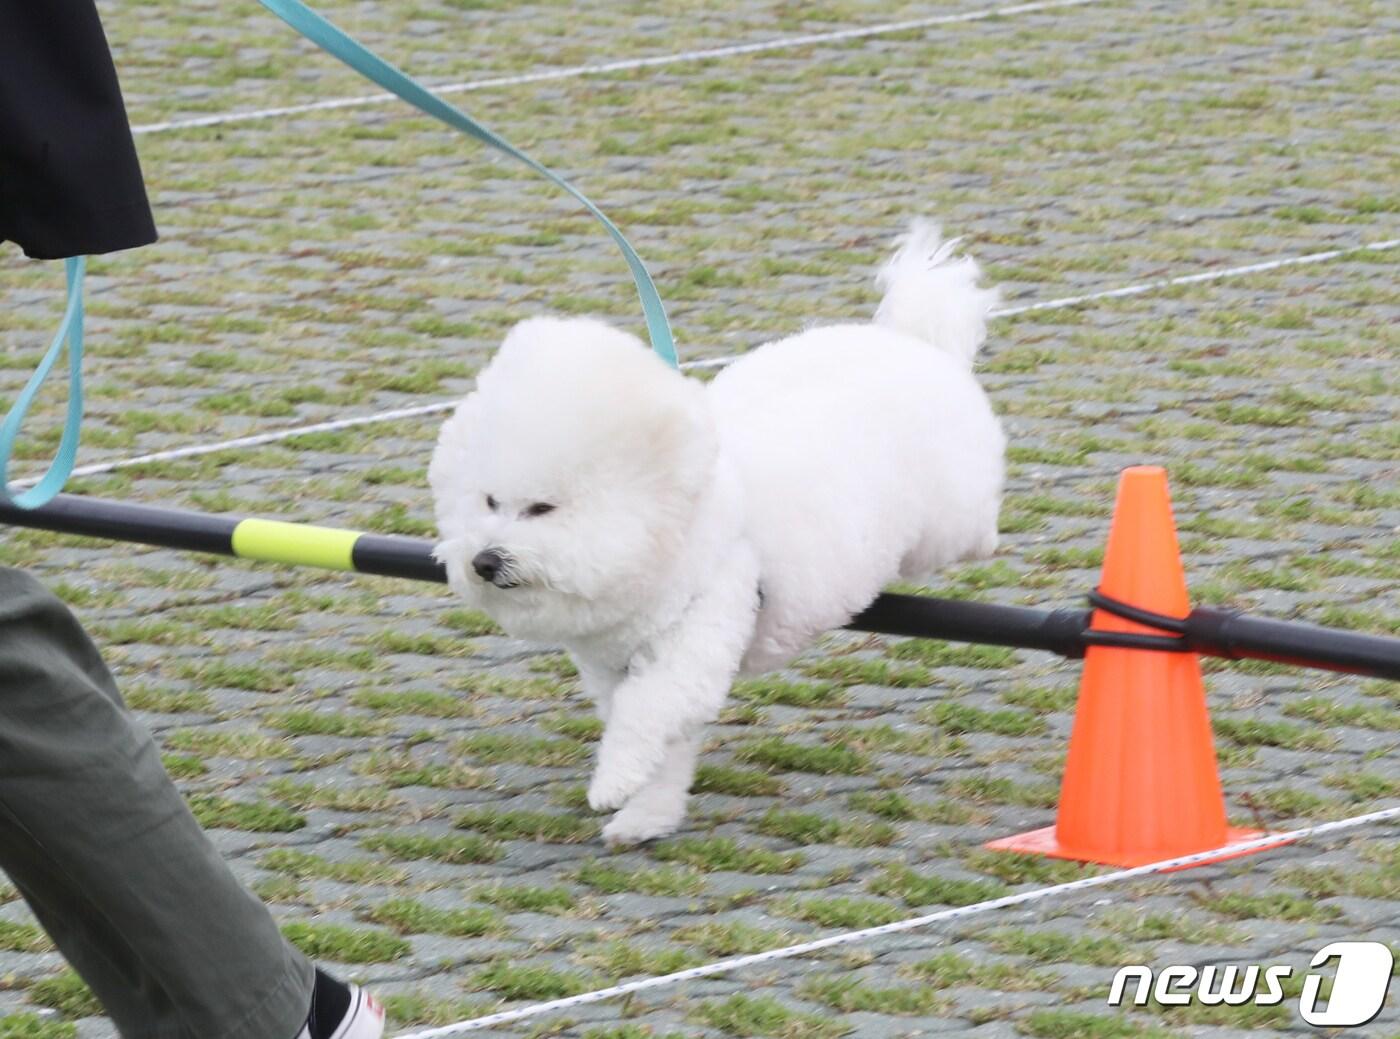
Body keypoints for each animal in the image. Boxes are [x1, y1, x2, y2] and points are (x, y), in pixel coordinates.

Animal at [428, 224, 1008, 851]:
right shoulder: (616, 667)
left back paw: (987, 538)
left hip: (946, 515)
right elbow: (665, 745)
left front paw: (613, 782)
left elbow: (646, 713)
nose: (485, 561)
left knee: (967, 527)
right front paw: (646, 816)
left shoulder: (697, 639)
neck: (678, 530)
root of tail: (910, 339)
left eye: (542, 508)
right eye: (489, 502)